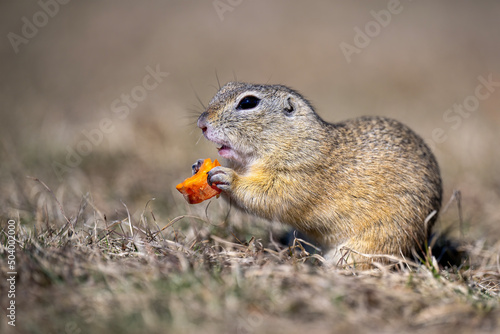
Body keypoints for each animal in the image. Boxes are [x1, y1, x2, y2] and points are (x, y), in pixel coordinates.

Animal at [195, 81, 442, 268]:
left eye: (248, 103)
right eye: (225, 87)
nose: (201, 123)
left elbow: (268, 196)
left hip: (374, 243)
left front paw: (228, 177)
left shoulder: (297, 175)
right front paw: (199, 166)